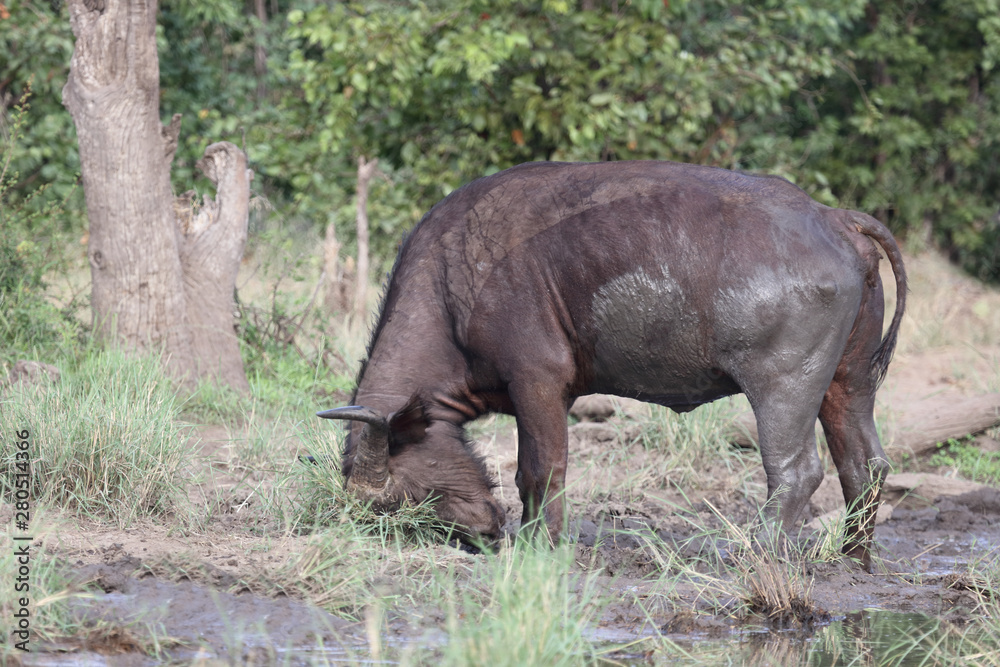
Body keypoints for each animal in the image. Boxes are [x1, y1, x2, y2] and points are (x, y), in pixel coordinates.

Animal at [318, 161, 906, 570]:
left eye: (412, 496)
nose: (483, 537)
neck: (451, 290)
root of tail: (834, 217)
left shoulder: (538, 383)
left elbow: (539, 469)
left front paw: (541, 544)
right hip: (848, 384)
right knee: (865, 465)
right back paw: (853, 559)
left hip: (782, 387)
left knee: (795, 472)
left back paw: (755, 556)